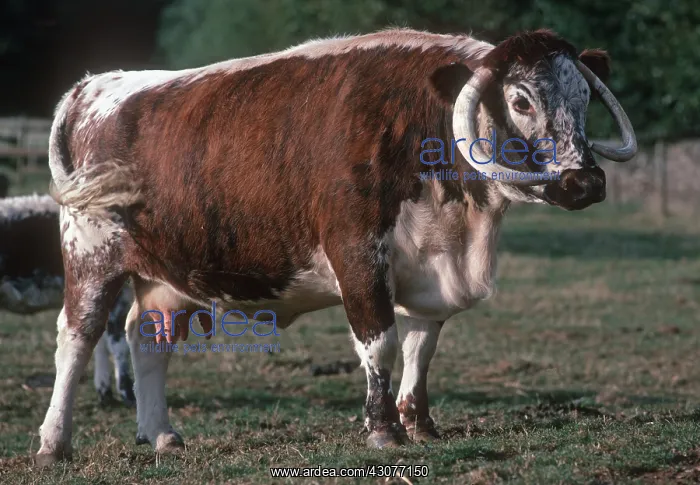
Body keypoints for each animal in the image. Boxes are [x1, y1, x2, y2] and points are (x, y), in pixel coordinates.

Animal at [35, 28, 636, 466]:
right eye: (520, 99)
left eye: (584, 97)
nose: (584, 182)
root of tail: (95, 85)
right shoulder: (358, 255)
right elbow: (381, 344)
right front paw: (383, 429)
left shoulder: (431, 271)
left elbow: (421, 347)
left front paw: (420, 424)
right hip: (90, 255)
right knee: (77, 338)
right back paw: (53, 443)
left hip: (169, 273)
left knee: (148, 338)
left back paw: (159, 433)